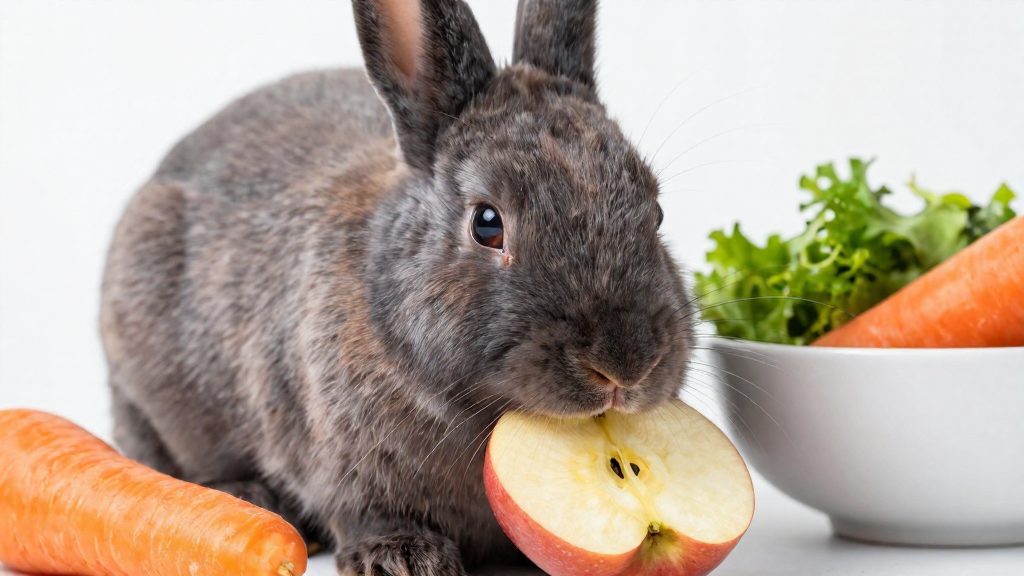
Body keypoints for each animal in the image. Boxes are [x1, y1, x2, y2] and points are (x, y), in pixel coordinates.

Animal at [99, 0, 696, 573]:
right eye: (487, 223)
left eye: (657, 212)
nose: (625, 365)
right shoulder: (341, 458)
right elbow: (364, 510)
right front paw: (405, 558)